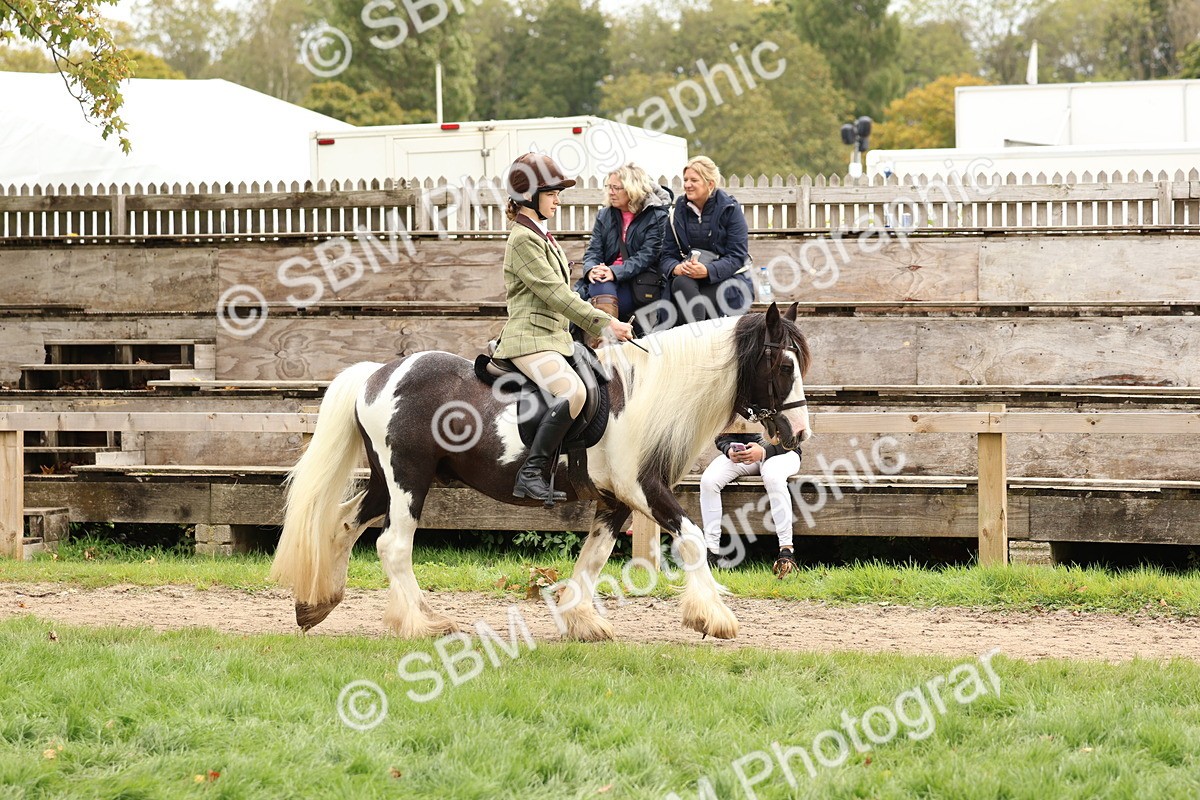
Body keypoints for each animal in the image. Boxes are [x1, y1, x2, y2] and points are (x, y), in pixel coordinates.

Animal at [269, 301, 812, 641]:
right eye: (784, 366)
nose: (800, 434)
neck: (639, 400)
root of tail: (379, 374)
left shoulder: (615, 501)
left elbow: (593, 559)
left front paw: (582, 621)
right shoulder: (642, 489)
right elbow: (694, 538)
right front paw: (714, 618)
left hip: (391, 482)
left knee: (344, 524)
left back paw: (320, 605)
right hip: (409, 480)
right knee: (393, 546)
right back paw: (420, 625)